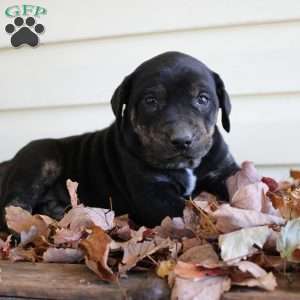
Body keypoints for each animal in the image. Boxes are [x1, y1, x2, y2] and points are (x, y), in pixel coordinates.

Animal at [0, 52, 239, 229]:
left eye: (202, 99)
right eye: (150, 101)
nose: (182, 140)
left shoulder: (224, 170)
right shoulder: (153, 193)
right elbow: (190, 210)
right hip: (39, 157)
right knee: (13, 205)